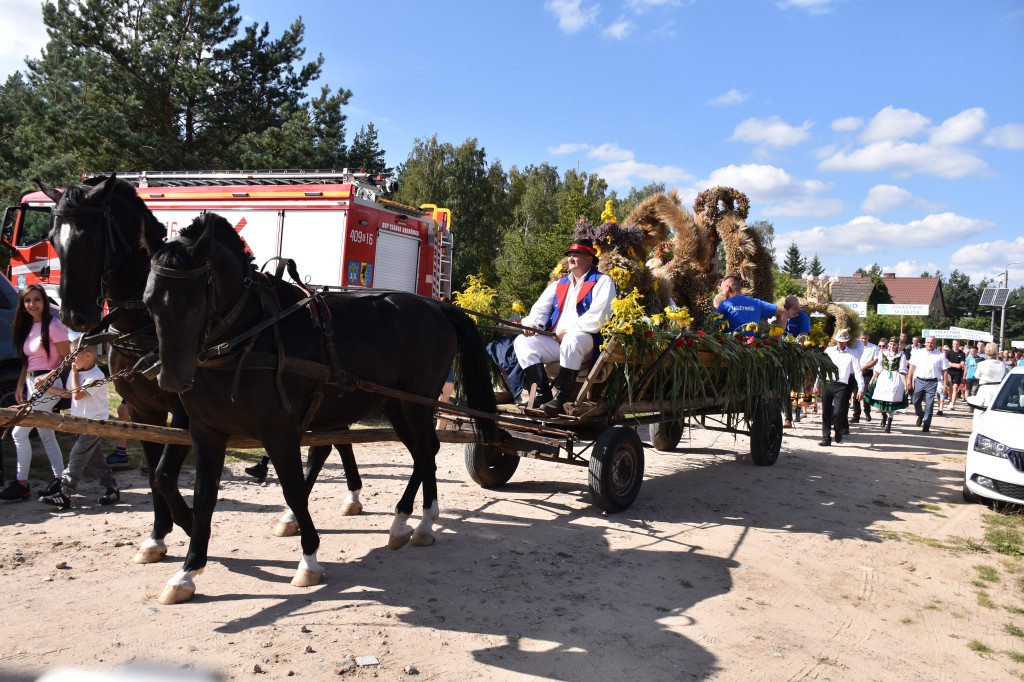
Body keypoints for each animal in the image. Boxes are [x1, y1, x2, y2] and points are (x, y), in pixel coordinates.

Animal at [39, 175, 366, 552]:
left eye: (90, 238)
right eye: (52, 239)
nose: (73, 316)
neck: (145, 326)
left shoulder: (187, 410)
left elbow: (164, 474)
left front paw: (186, 522)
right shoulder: (143, 410)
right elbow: (154, 472)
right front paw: (158, 534)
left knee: (328, 443)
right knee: (333, 440)